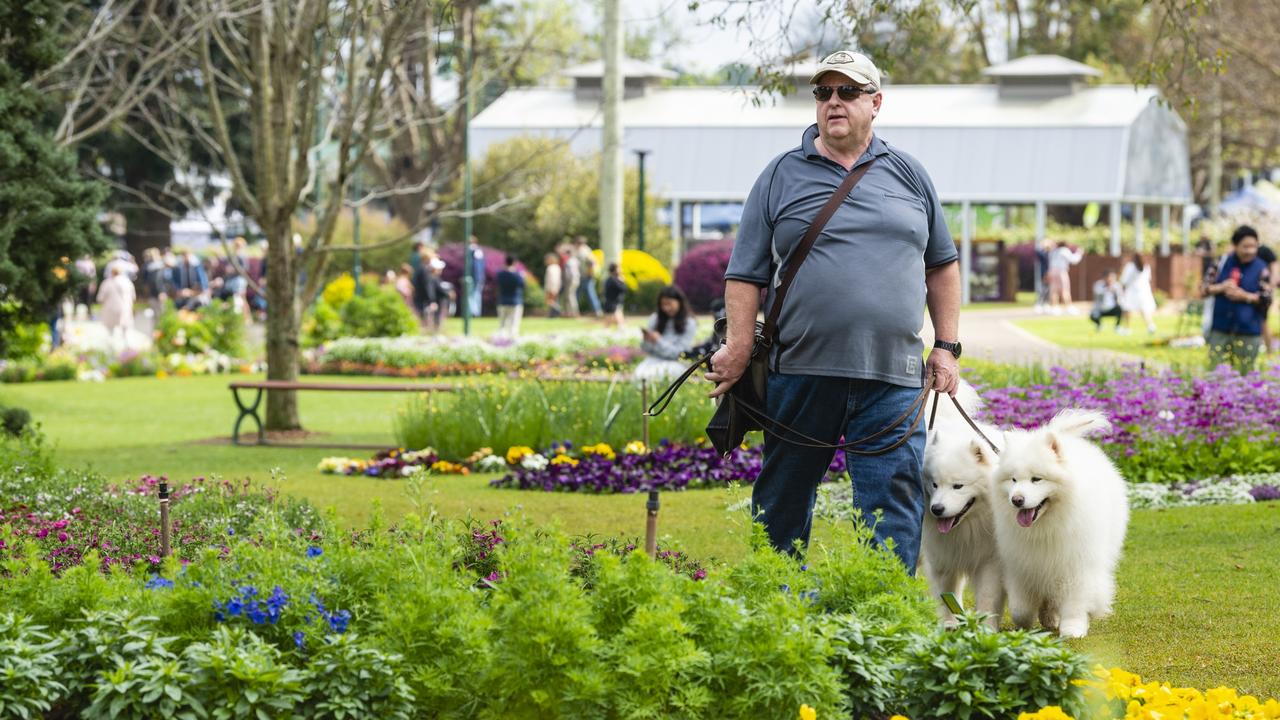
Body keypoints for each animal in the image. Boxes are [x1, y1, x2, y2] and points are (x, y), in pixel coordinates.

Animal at [926, 384, 1003, 625]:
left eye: (958, 486)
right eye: (934, 484)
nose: (937, 509)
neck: (969, 526)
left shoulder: (991, 559)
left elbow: (988, 595)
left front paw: (987, 627)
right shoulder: (942, 555)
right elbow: (946, 592)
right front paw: (949, 624)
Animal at [988, 407, 1131, 635]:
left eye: (1036, 479)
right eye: (1013, 479)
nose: (1017, 500)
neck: (1046, 527)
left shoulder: (1075, 564)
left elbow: (1074, 602)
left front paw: (1073, 628)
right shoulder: (1022, 565)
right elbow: (1020, 608)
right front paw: (1025, 625)